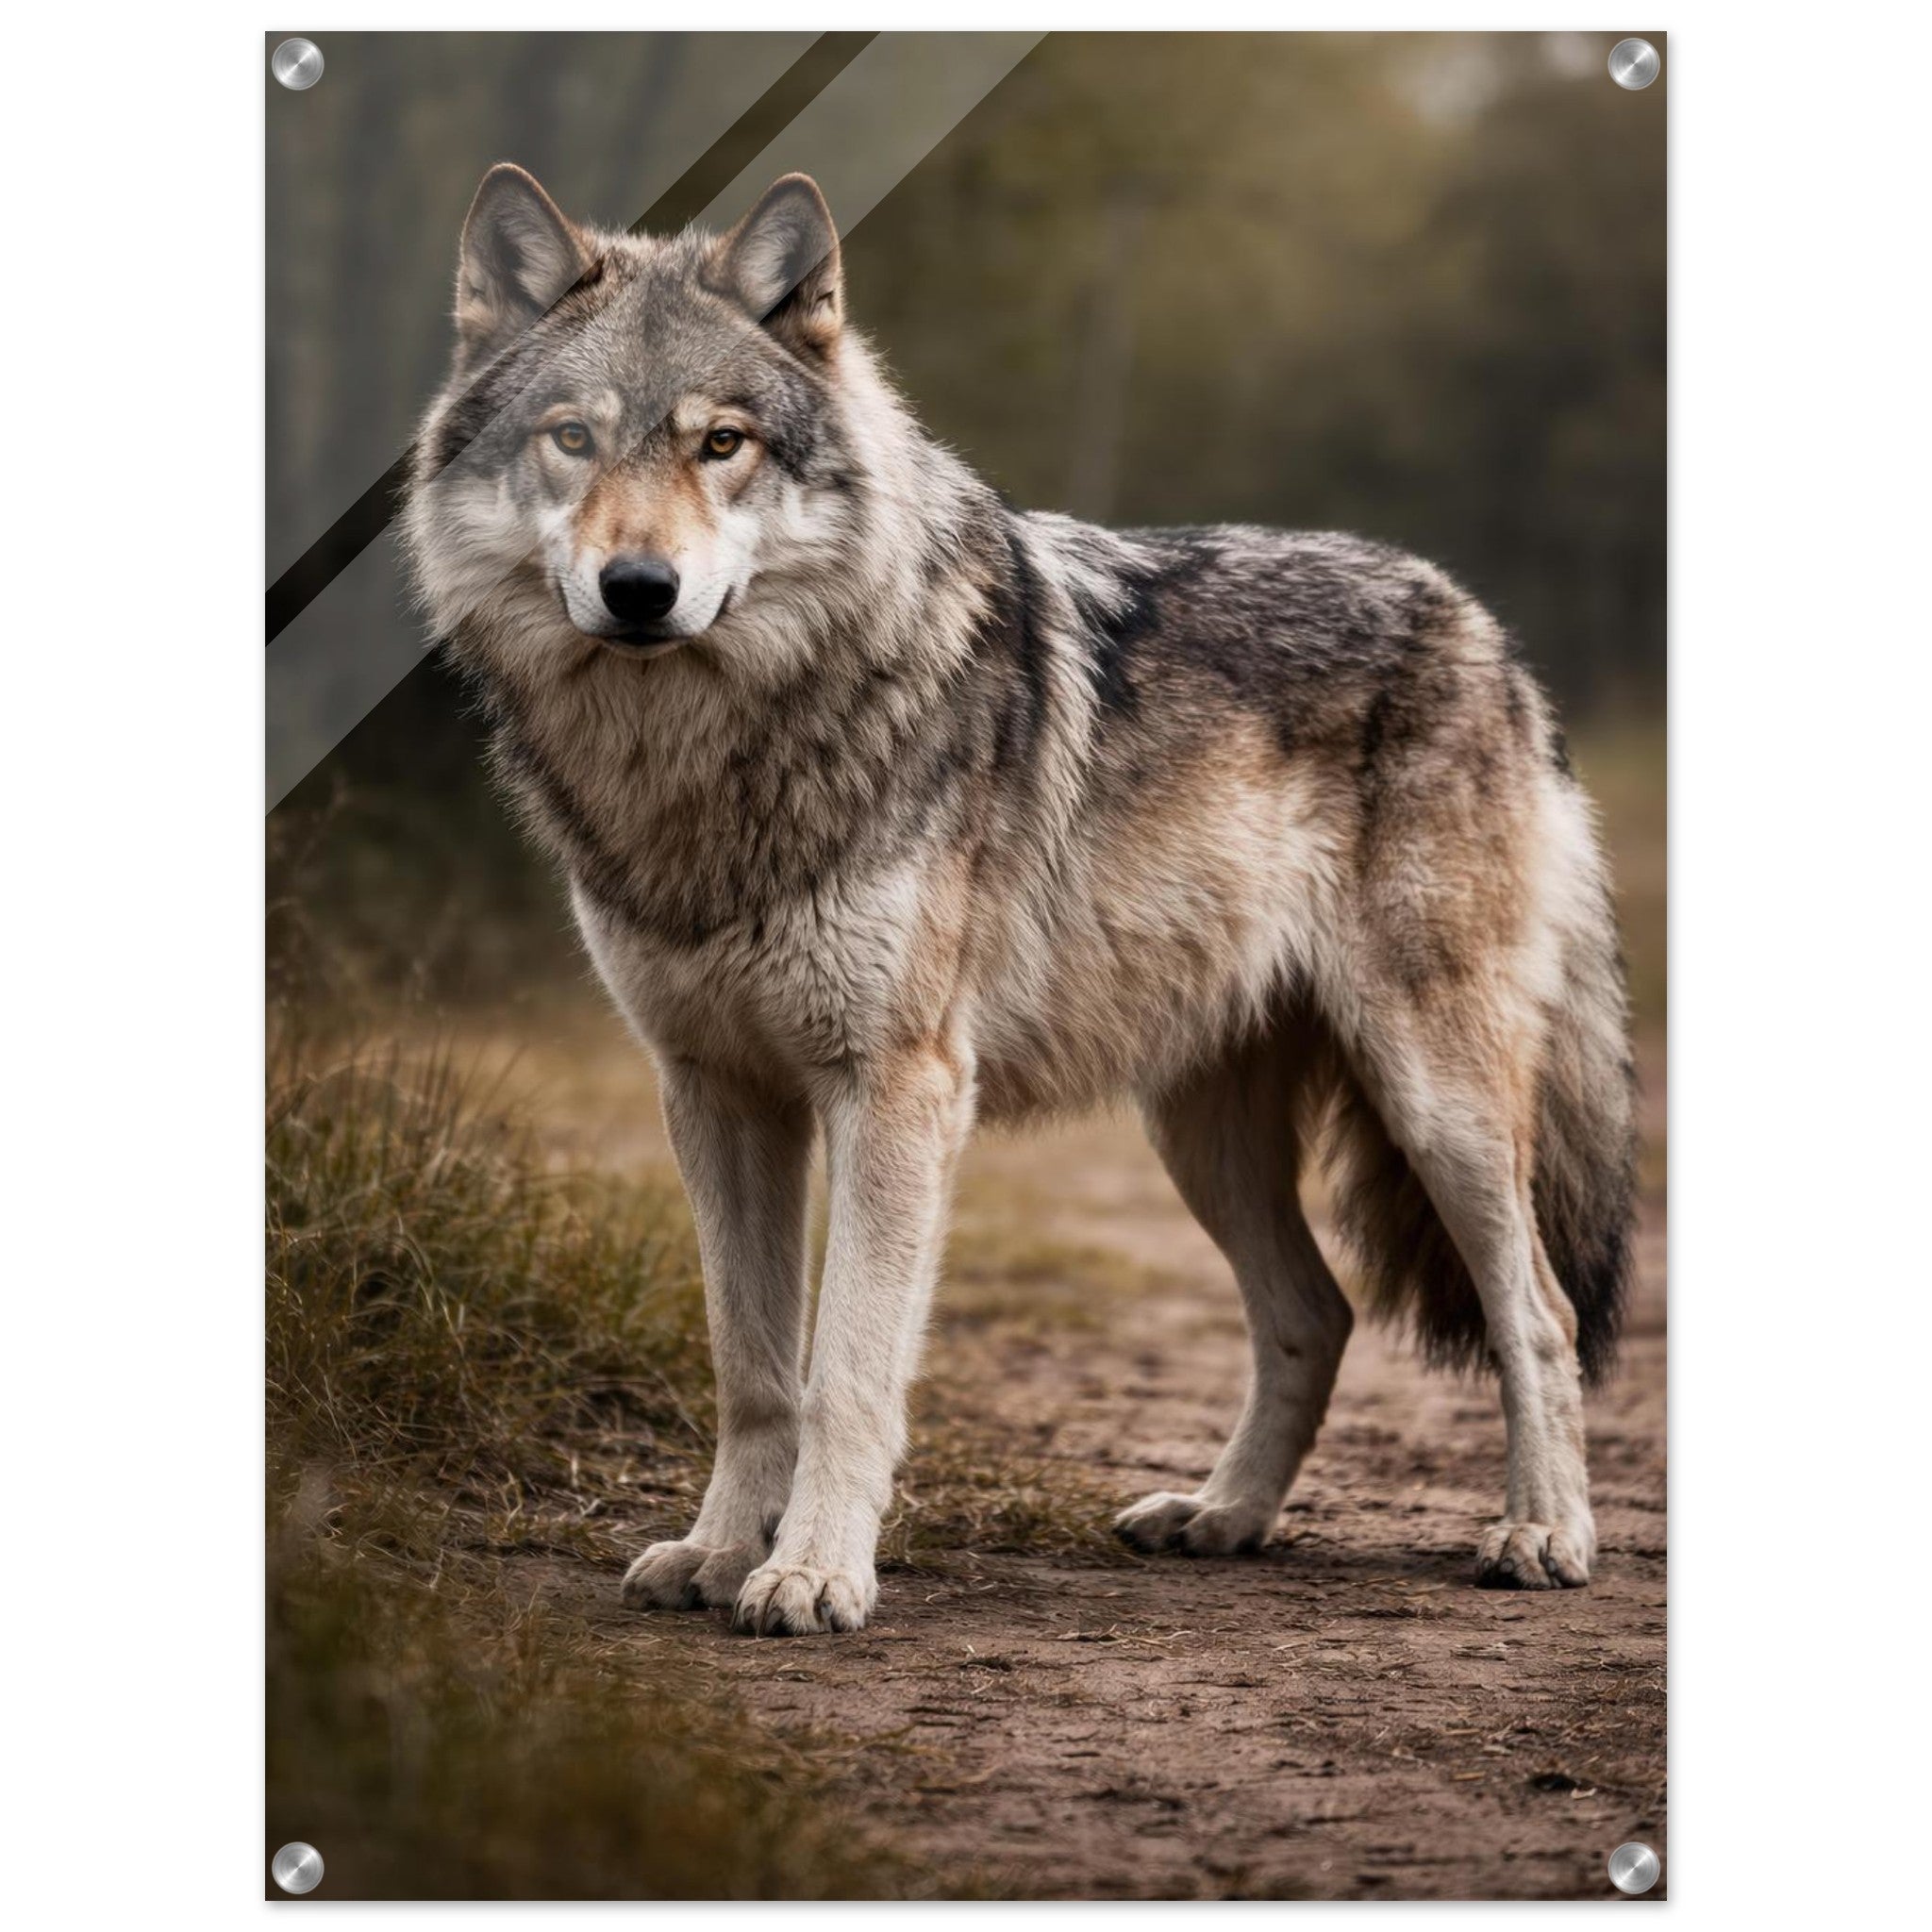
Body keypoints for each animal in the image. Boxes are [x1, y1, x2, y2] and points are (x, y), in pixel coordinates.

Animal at [403, 164, 1637, 1636]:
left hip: (1434, 1101)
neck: (711, 758)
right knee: (1316, 1314)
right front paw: (713, 1553)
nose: (639, 590)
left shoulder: (897, 1088)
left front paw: (812, 1573)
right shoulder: (712, 1091)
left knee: (1539, 1314)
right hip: (1200, 1133)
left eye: (722, 445)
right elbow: (751, 1368)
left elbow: (845, 1370)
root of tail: (1484, 629)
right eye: (573, 440)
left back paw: (1542, 1533)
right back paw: (1221, 1516)